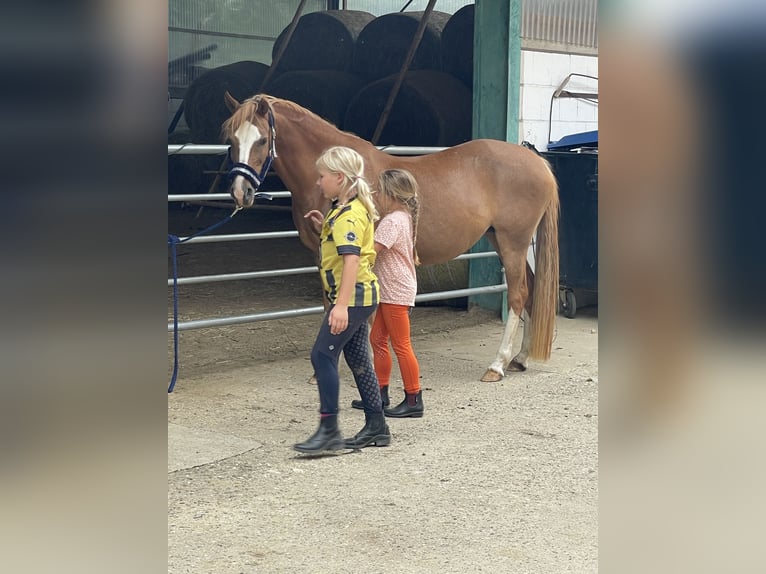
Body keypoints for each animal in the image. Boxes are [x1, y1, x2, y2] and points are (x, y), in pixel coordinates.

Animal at [220, 94, 560, 382]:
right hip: (501, 241)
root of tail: (538, 162)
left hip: (513, 242)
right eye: (231, 141)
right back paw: (520, 358)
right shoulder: (321, 254)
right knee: (530, 289)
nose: (240, 192)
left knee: (517, 294)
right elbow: (331, 304)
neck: (345, 177)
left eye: (262, 140)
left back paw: (497, 365)